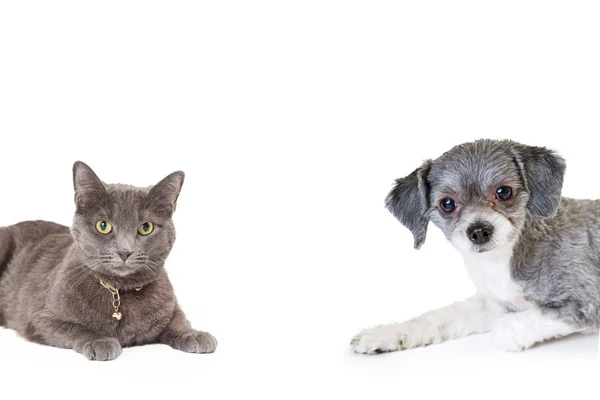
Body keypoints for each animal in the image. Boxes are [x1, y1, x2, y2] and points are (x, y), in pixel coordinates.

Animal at [0, 161, 217, 360]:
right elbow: (76, 328)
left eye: (146, 227)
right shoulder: (41, 318)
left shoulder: (170, 306)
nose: (125, 251)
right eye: (103, 226)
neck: (119, 293)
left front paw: (194, 335)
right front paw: (100, 341)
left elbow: (179, 320)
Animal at [352, 140, 600, 354]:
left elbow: (511, 326)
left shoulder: (586, 302)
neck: (503, 258)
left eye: (503, 192)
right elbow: (439, 317)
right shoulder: (492, 303)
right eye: (447, 204)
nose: (479, 231)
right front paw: (386, 334)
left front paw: (504, 333)